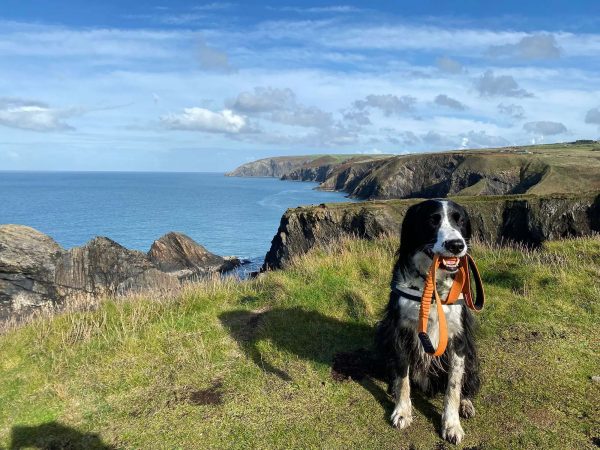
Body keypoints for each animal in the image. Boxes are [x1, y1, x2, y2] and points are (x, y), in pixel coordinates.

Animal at [378, 201, 480, 446]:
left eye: (460, 220)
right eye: (432, 220)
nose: (456, 245)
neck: (433, 288)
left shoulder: (459, 339)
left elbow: (453, 386)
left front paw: (451, 424)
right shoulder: (400, 332)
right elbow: (403, 378)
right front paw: (402, 411)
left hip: (472, 354)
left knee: (468, 382)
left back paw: (466, 404)